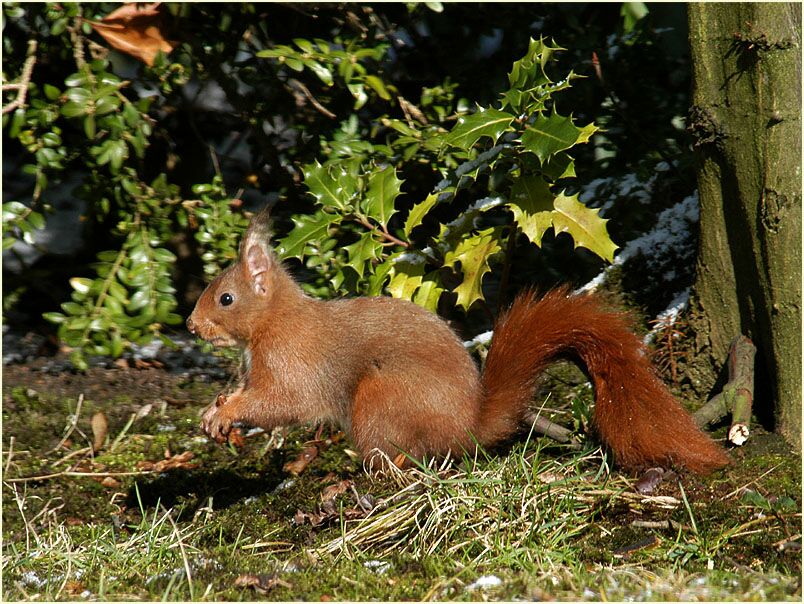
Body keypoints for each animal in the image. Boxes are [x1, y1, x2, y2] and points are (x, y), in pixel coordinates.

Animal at [186, 209, 730, 474]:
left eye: (226, 298)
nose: (192, 326)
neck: (273, 322)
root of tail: (467, 428)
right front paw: (216, 410)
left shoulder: (293, 363)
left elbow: (283, 402)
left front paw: (231, 411)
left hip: (381, 398)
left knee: (409, 458)